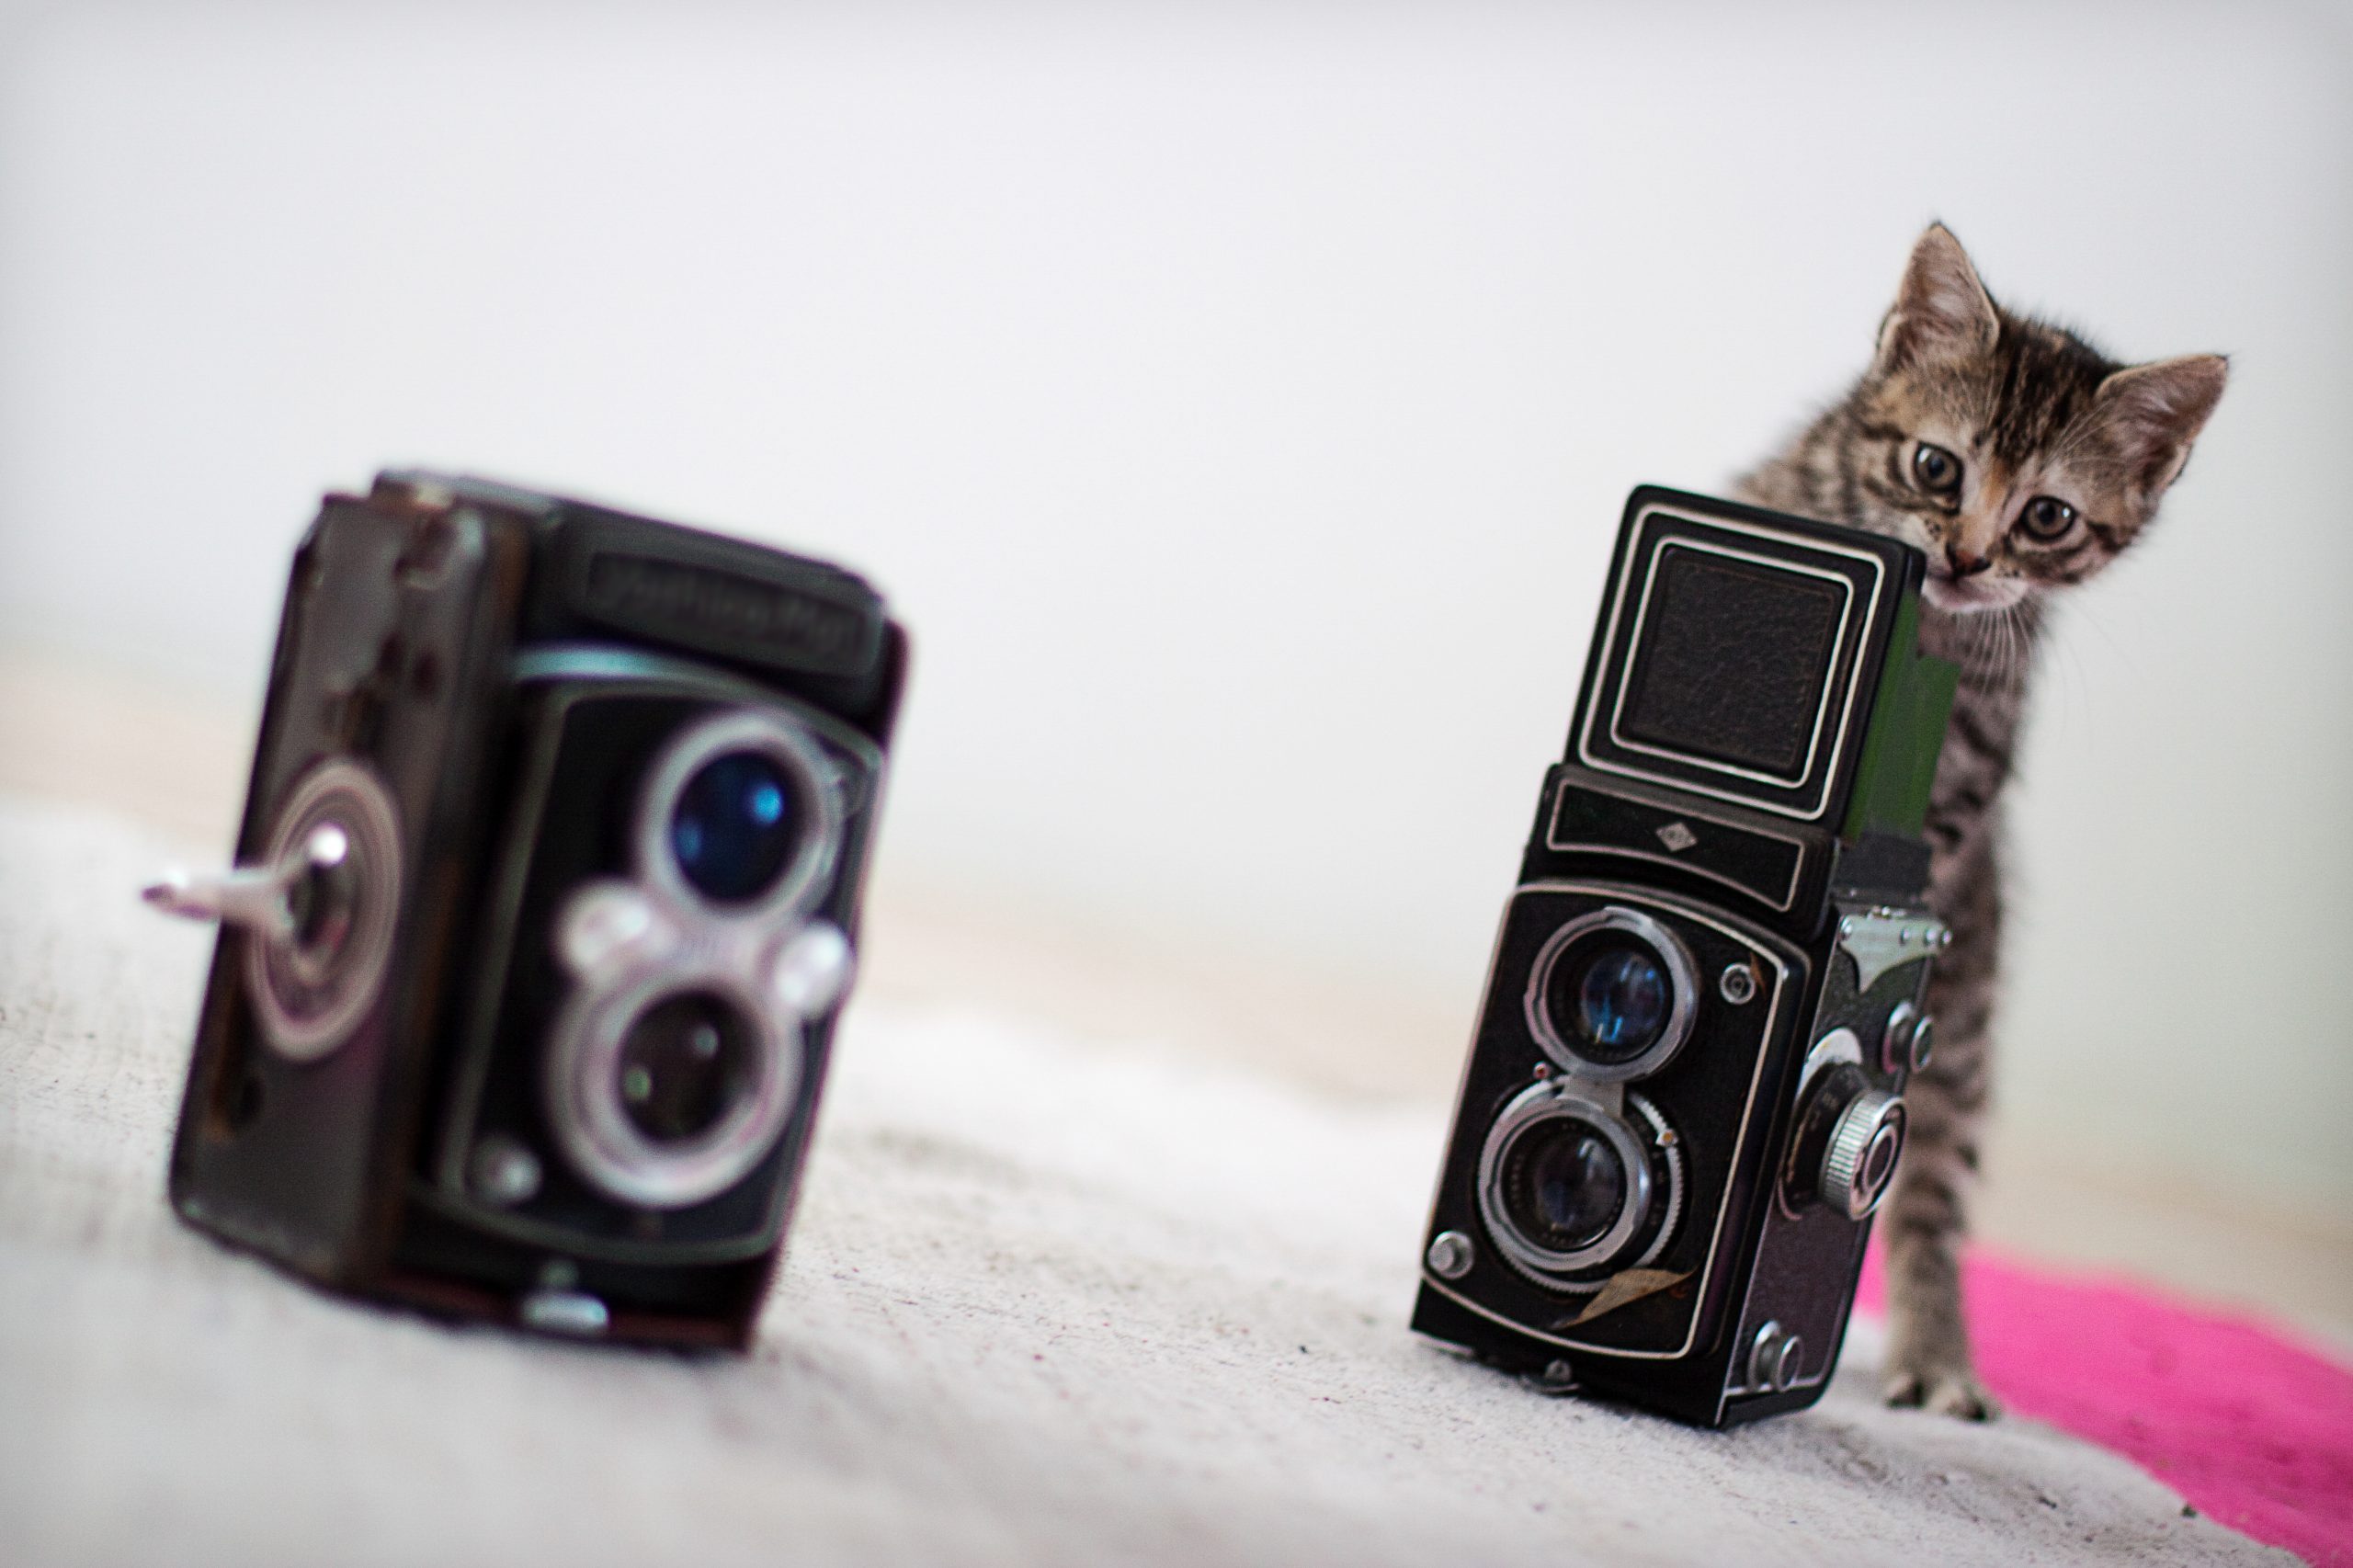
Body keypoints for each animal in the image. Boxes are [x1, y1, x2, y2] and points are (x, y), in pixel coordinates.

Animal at [1750, 222, 2221, 1412]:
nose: (1964, 558)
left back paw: (1935, 1352)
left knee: (1929, 1192)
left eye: (2046, 516)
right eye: (1936, 467)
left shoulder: (1961, 805)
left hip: (1960, 1021)